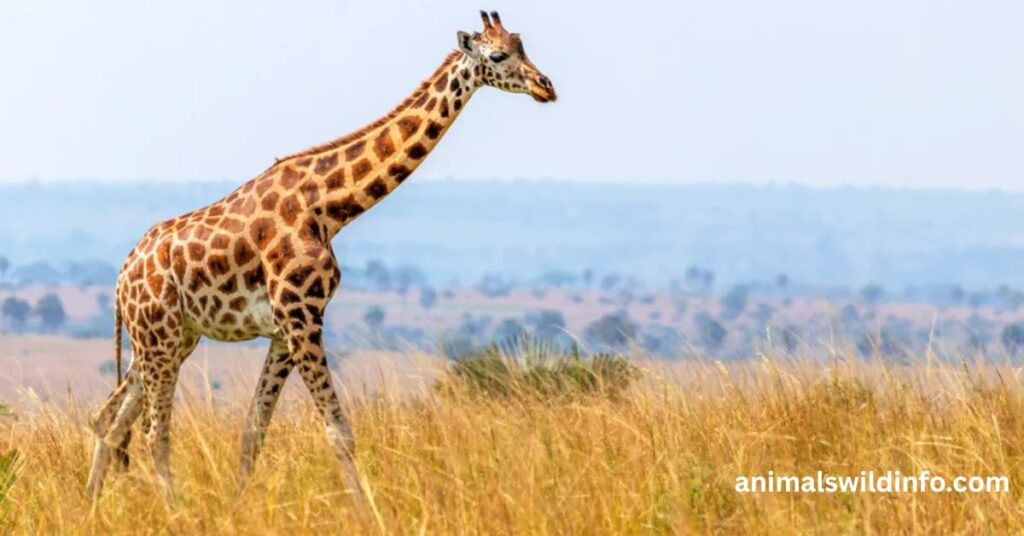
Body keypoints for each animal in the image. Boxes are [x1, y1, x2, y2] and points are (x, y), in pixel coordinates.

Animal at [85, 10, 556, 500]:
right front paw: (366, 508)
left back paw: (93, 505)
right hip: (157, 336)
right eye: (498, 55)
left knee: (109, 419)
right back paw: (173, 507)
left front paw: (238, 505)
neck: (329, 206)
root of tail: (122, 277)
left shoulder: (283, 330)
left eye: (521, 44)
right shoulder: (301, 316)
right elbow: (338, 431)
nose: (546, 86)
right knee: (152, 430)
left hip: (171, 338)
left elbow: (254, 429)